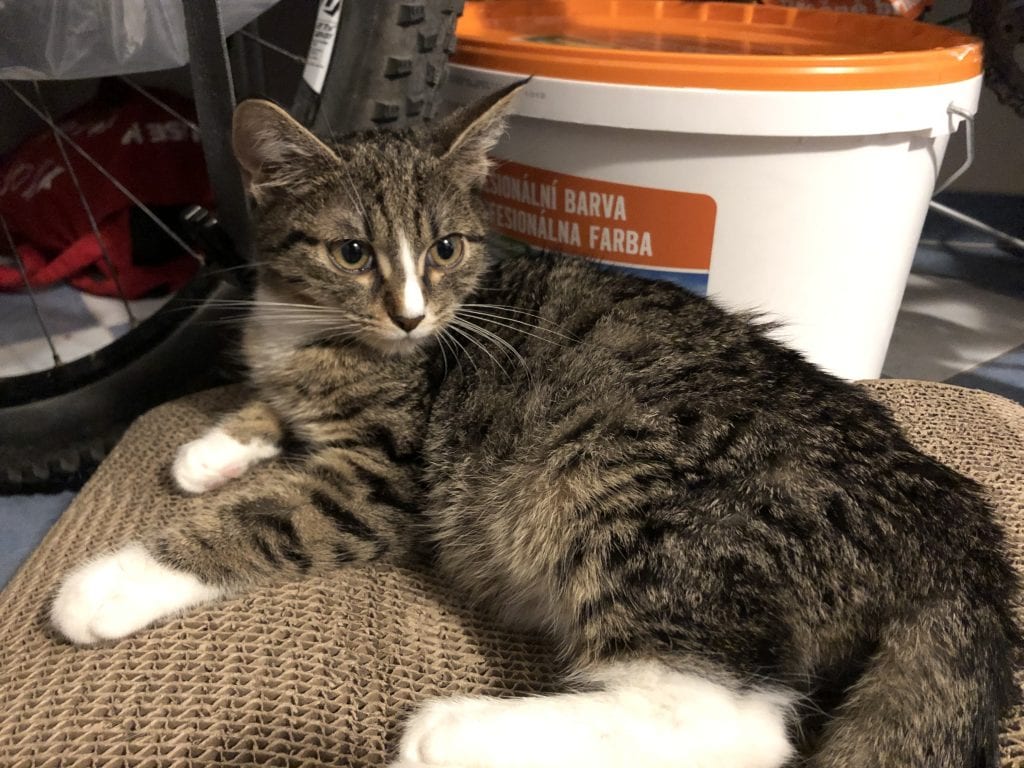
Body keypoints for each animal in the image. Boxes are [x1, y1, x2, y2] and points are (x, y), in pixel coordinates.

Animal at [54, 83, 1015, 768]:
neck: (313, 326)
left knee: (729, 719)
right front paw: (213, 445)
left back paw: (455, 734)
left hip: (629, 498)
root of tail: (952, 528)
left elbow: (273, 514)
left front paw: (113, 583)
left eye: (445, 248)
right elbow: (268, 403)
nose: (410, 315)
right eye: (353, 252)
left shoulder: (385, 476)